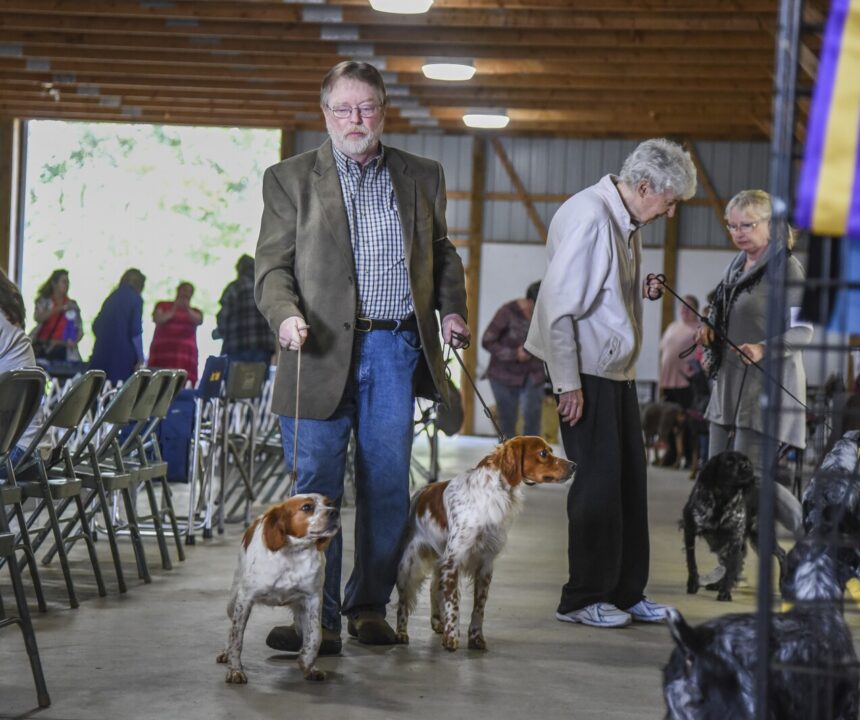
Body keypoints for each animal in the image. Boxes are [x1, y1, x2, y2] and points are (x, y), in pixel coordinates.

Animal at [217, 496, 340, 688]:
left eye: (329, 503)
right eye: (307, 507)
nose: (334, 512)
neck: (292, 554)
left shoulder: (313, 598)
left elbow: (315, 636)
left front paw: (308, 664)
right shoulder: (245, 598)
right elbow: (237, 638)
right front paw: (235, 671)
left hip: (299, 610)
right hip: (233, 600)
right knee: (231, 628)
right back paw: (225, 651)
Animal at [394, 434, 572, 652]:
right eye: (543, 453)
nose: (574, 465)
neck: (495, 492)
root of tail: (420, 493)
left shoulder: (485, 563)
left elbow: (479, 607)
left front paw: (476, 638)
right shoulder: (453, 560)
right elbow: (453, 604)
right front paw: (451, 637)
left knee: (434, 587)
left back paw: (437, 622)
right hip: (408, 566)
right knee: (403, 601)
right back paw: (401, 633)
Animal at [680, 450, 788, 600]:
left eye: (746, 460)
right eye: (729, 462)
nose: (747, 467)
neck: (722, 500)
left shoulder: (735, 537)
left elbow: (731, 567)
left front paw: (725, 592)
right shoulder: (690, 530)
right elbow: (692, 563)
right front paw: (693, 585)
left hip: (760, 537)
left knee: (782, 554)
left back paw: (782, 584)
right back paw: (717, 584)